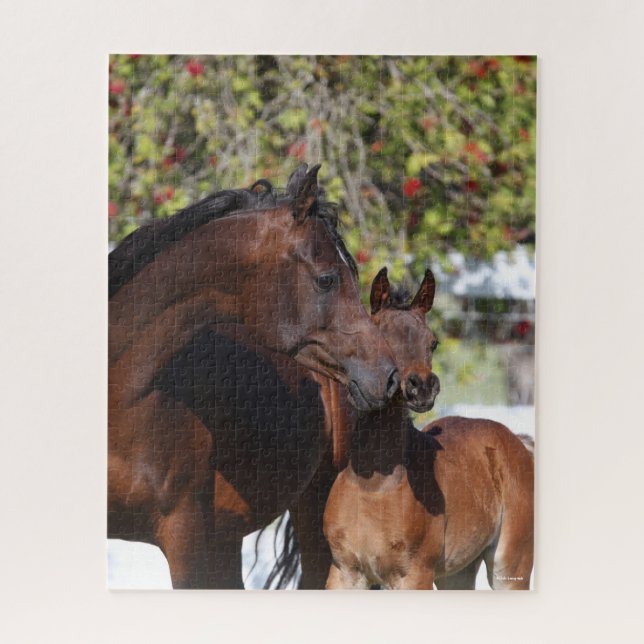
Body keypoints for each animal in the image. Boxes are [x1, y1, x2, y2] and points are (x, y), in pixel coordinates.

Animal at [323, 267, 534, 590]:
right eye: (381, 335)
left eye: (432, 342)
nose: (422, 387)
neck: (374, 486)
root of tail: (516, 441)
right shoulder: (344, 572)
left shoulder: (415, 574)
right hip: (457, 573)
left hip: (511, 565)